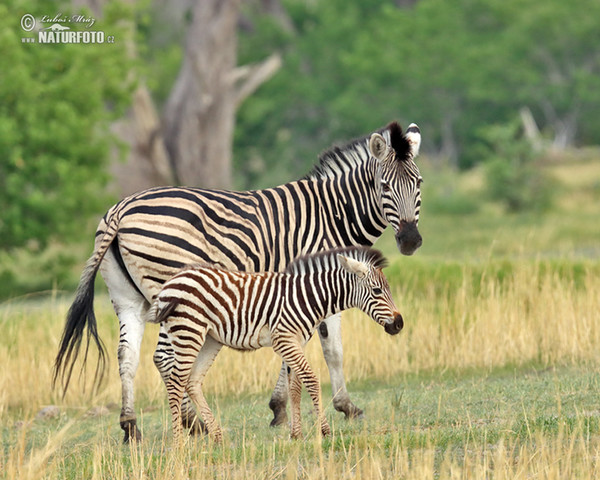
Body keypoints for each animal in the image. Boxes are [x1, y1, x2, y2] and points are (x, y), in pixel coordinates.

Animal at [148, 248, 406, 442]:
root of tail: (171, 282)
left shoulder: (296, 341)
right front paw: (324, 431)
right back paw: (179, 443)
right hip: (188, 332)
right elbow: (311, 380)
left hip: (210, 339)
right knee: (177, 381)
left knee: (192, 381)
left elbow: (296, 387)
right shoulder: (284, 340)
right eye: (377, 291)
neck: (307, 297)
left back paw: (218, 436)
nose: (399, 324)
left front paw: (296, 434)